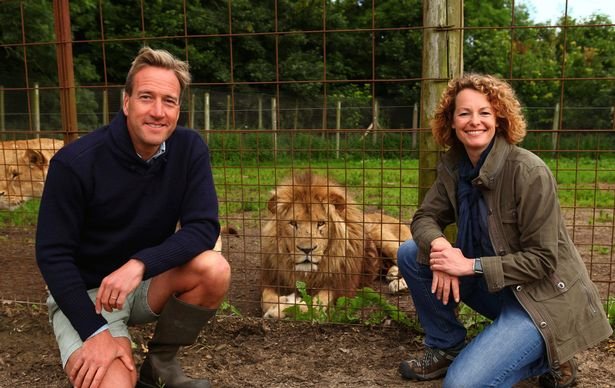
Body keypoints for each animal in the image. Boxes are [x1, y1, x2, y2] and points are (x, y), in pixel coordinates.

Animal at [258, 173, 412, 318]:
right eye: (293, 223)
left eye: (321, 223)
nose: (307, 250)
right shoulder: (271, 280)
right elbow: (265, 298)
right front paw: (281, 304)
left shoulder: (340, 285)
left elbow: (314, 305)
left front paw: (285, 308)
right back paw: (393, 273)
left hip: (382, 236)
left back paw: (400, 285)